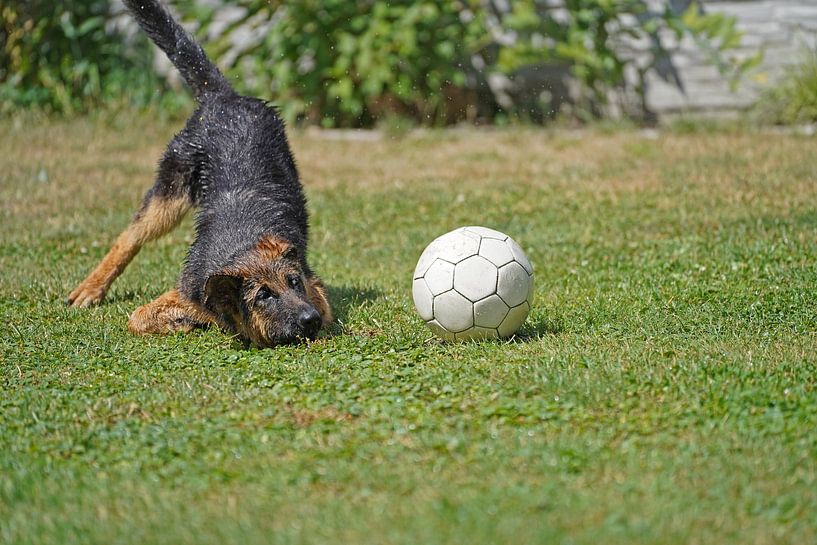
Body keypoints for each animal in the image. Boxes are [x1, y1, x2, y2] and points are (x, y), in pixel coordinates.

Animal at [65, 0, 330, 346]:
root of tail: (222, 97)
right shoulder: (189, 288)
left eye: (294, 281)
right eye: (263, 295)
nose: (312, 319)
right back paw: (92, 287)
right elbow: (138, 317)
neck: (242, 245)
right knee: (130, 236)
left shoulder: (315, 290)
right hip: (169, 195)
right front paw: (184, 321)